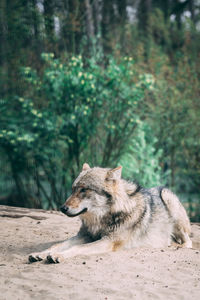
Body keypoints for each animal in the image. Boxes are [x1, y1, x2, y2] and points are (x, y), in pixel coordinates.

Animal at [28, 163, 192, 264]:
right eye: (73, 189)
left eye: (84, 190)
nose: (62, 208)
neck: (102, 218)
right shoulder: (85, 235)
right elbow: (58, 245)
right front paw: (41, 253)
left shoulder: (108, 241)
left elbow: (77, 248)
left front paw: (58, 255)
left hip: (167, 197)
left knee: (188, 241)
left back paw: (174, 245)